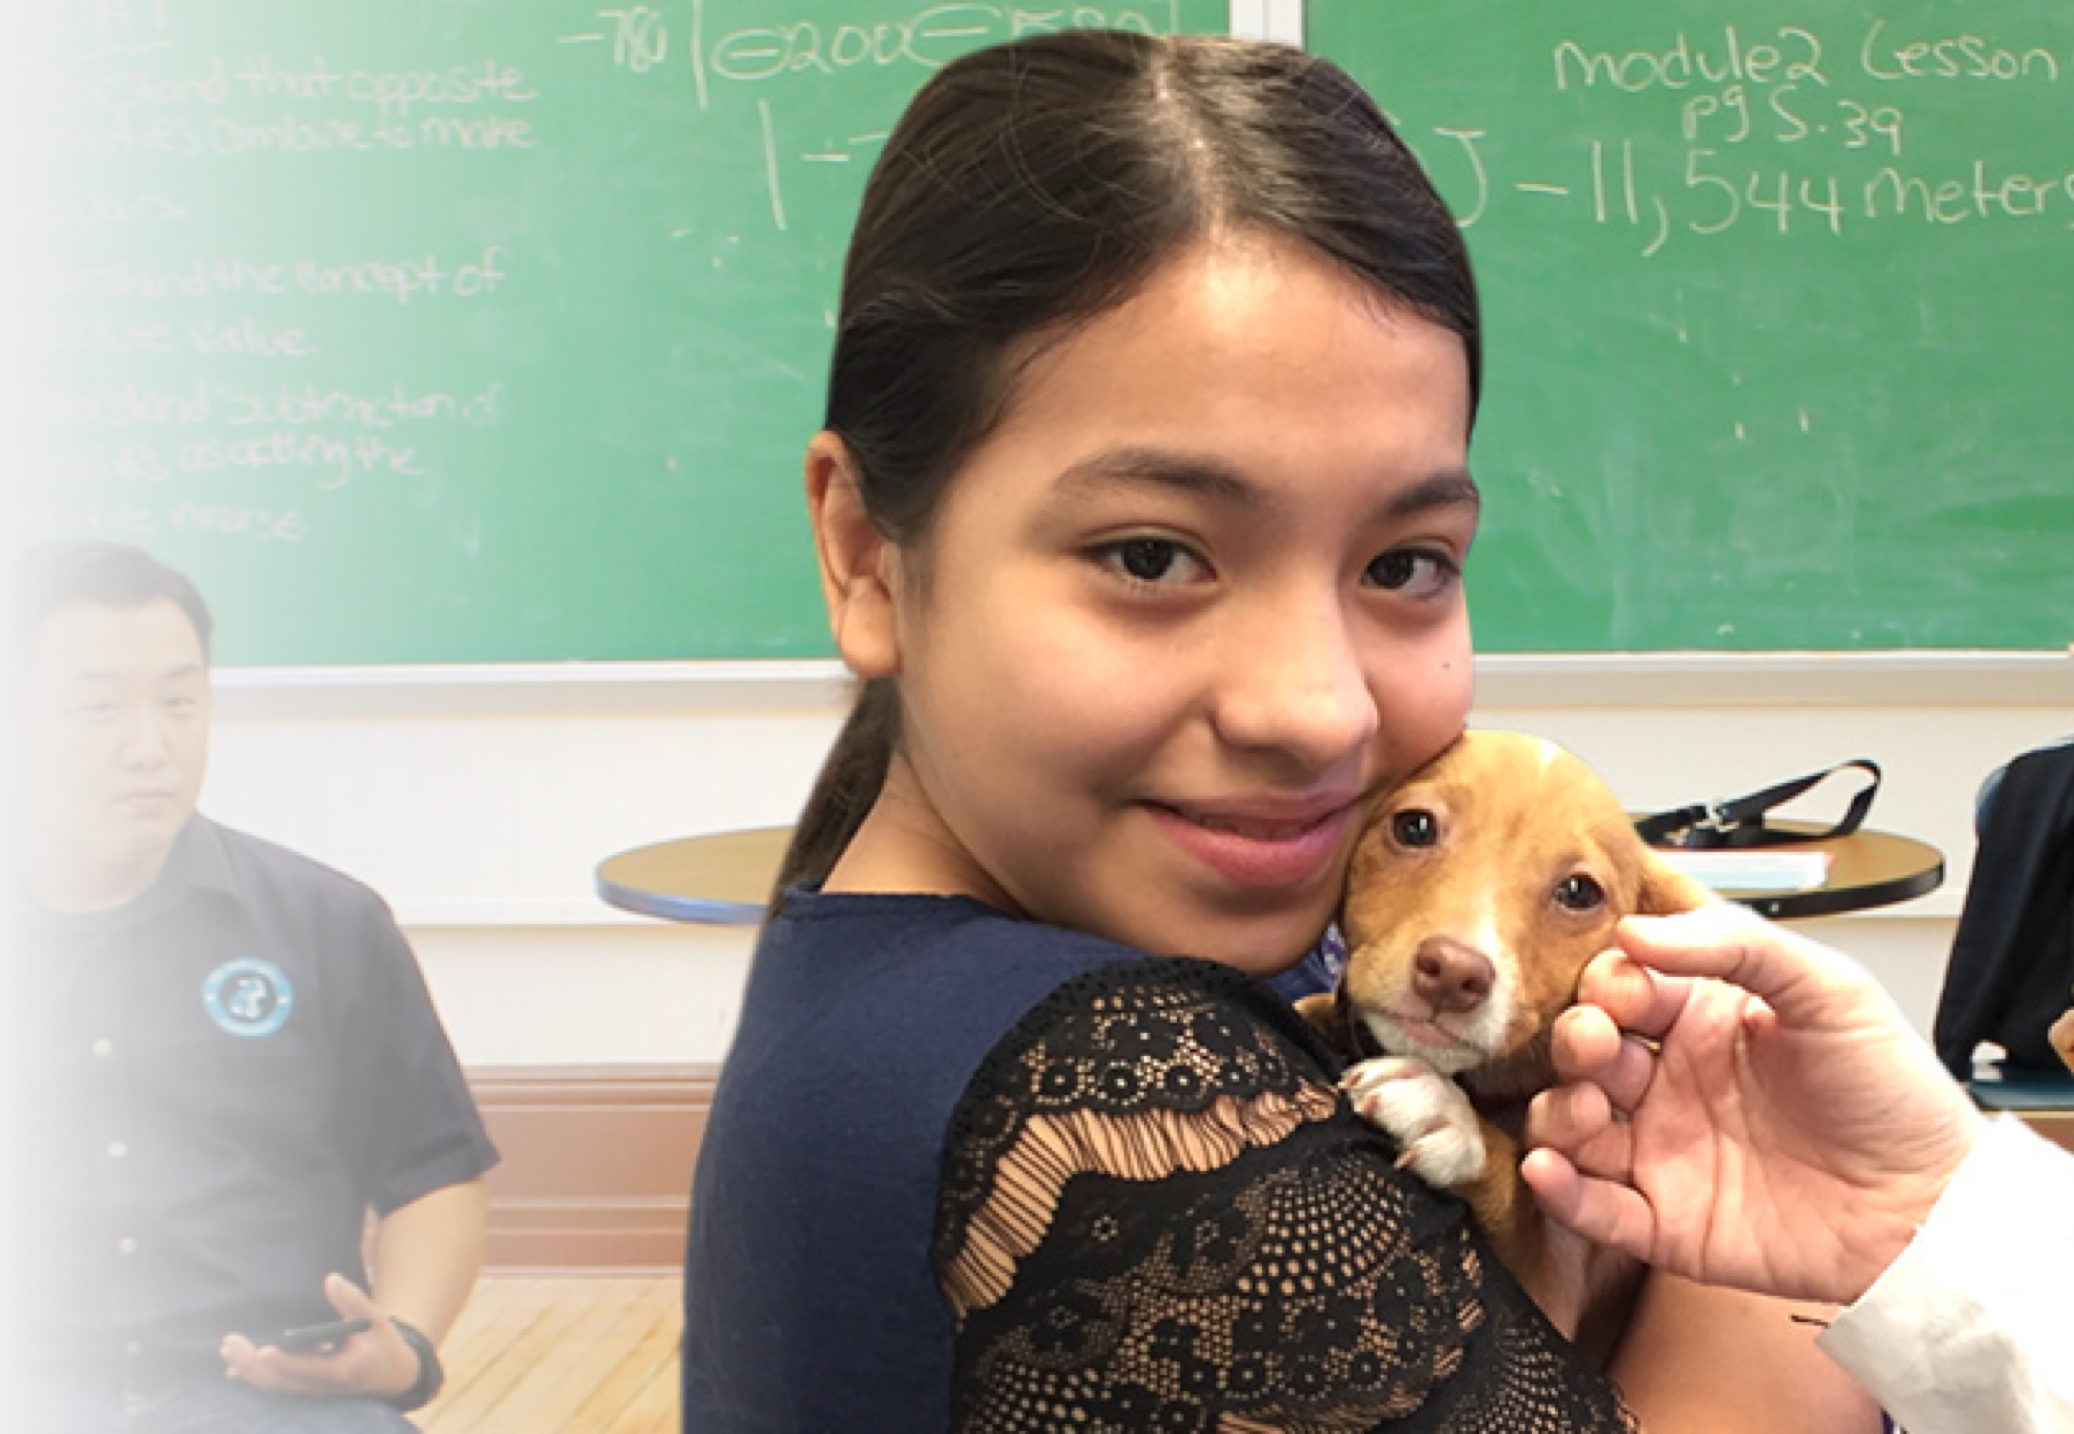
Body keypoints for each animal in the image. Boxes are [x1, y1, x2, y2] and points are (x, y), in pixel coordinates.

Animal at [1302, 734, 1708, 1353]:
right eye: (1415, 827)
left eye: (1578, 891)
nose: (1452, 973)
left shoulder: (1554, 1294)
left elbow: (1523, 1207)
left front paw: (1447, 1115)